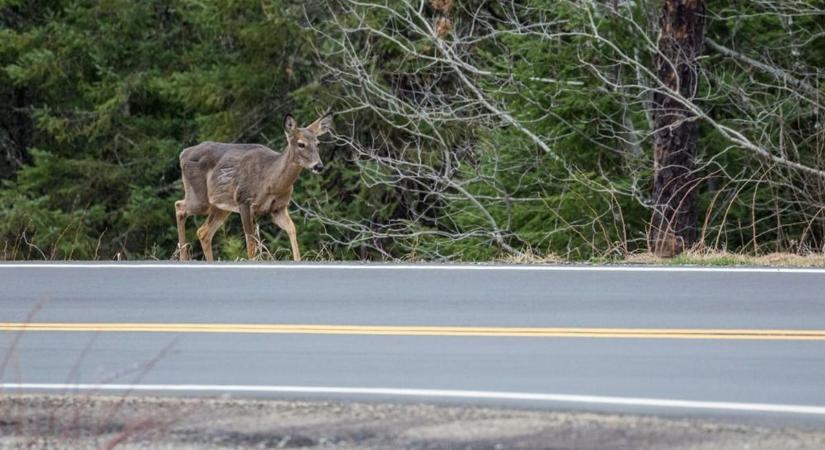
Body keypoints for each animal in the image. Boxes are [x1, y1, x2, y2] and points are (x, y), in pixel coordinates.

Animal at [174, 110, 332, 262]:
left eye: (318, 143)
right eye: (301, 144)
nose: (319, 166)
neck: (271, 182)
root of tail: (183, 153)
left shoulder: (279, 208)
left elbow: (292, 229)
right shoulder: (243, 200)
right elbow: (251, 244)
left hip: (220, 205)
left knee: (203, 232)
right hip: (201, 198)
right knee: (179, 206)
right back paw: (183, 257)